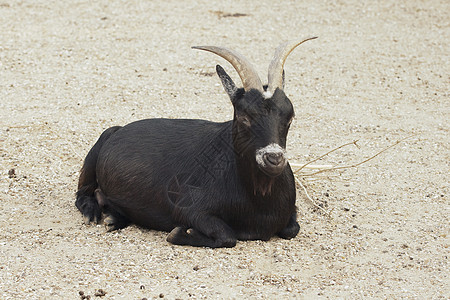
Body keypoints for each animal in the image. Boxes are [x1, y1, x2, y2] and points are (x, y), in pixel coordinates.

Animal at [75, 37, 316, 247]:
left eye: (290, 116)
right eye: (244, 116)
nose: (273, 158)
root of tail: (119, 130)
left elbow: (292, 229)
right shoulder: (188, 208)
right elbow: (227, 236)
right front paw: (181, 233)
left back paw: (114, 217)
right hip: (94, 155)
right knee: (82, 193)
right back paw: (94, 213)